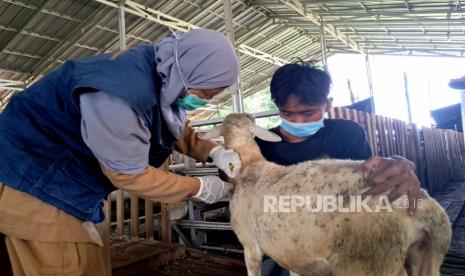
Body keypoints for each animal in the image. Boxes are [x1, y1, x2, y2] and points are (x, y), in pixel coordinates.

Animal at [200, 113, 454, 276]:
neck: (250, 165)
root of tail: (426, 211)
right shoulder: (290, 250)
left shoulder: (249, 244)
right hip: (427, 259)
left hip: (370, 264)